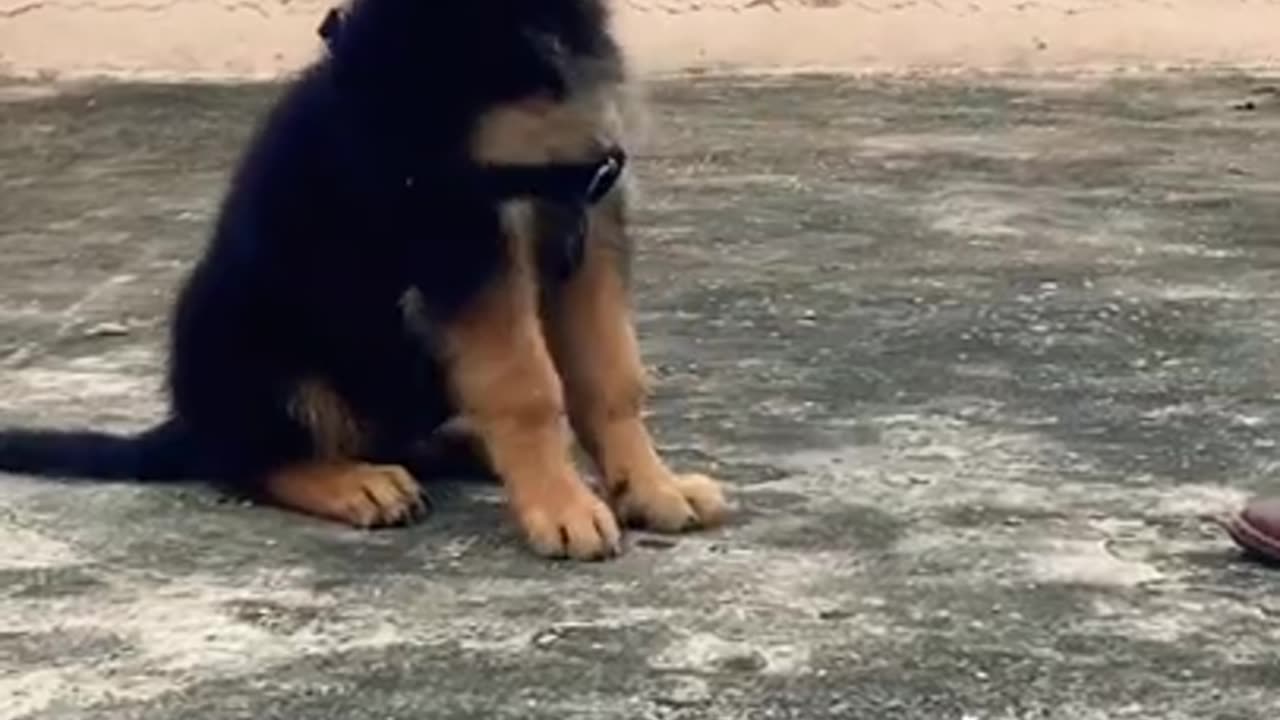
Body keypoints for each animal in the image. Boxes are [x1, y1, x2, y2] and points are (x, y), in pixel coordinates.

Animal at [0, 0, 727, 561]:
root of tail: (189, 424)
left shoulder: (590, 206)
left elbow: (610, 377)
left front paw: (653, 489)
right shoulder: (467, 221)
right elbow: (527, 386)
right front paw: (562, 507)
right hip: (242, 334)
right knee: (249, 461)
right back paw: (355, 484)